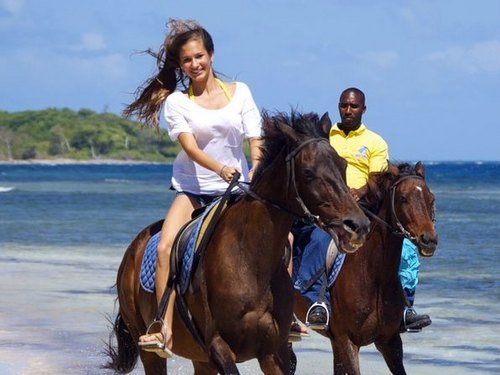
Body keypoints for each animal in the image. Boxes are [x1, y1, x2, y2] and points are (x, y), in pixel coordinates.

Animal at [106, 111, 372, 375]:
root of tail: (133, 249)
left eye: (343, 165)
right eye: (308, 172)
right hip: (150, 350)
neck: (249, 259)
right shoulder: (218, 348)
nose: (357, 226)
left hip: (201, 360)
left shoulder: (273, 352)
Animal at [292, 163, 438, 375]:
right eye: (403, 199)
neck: (374, 278)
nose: (429, 240)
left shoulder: (390, 341)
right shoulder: (348, 340)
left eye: (431, 198)